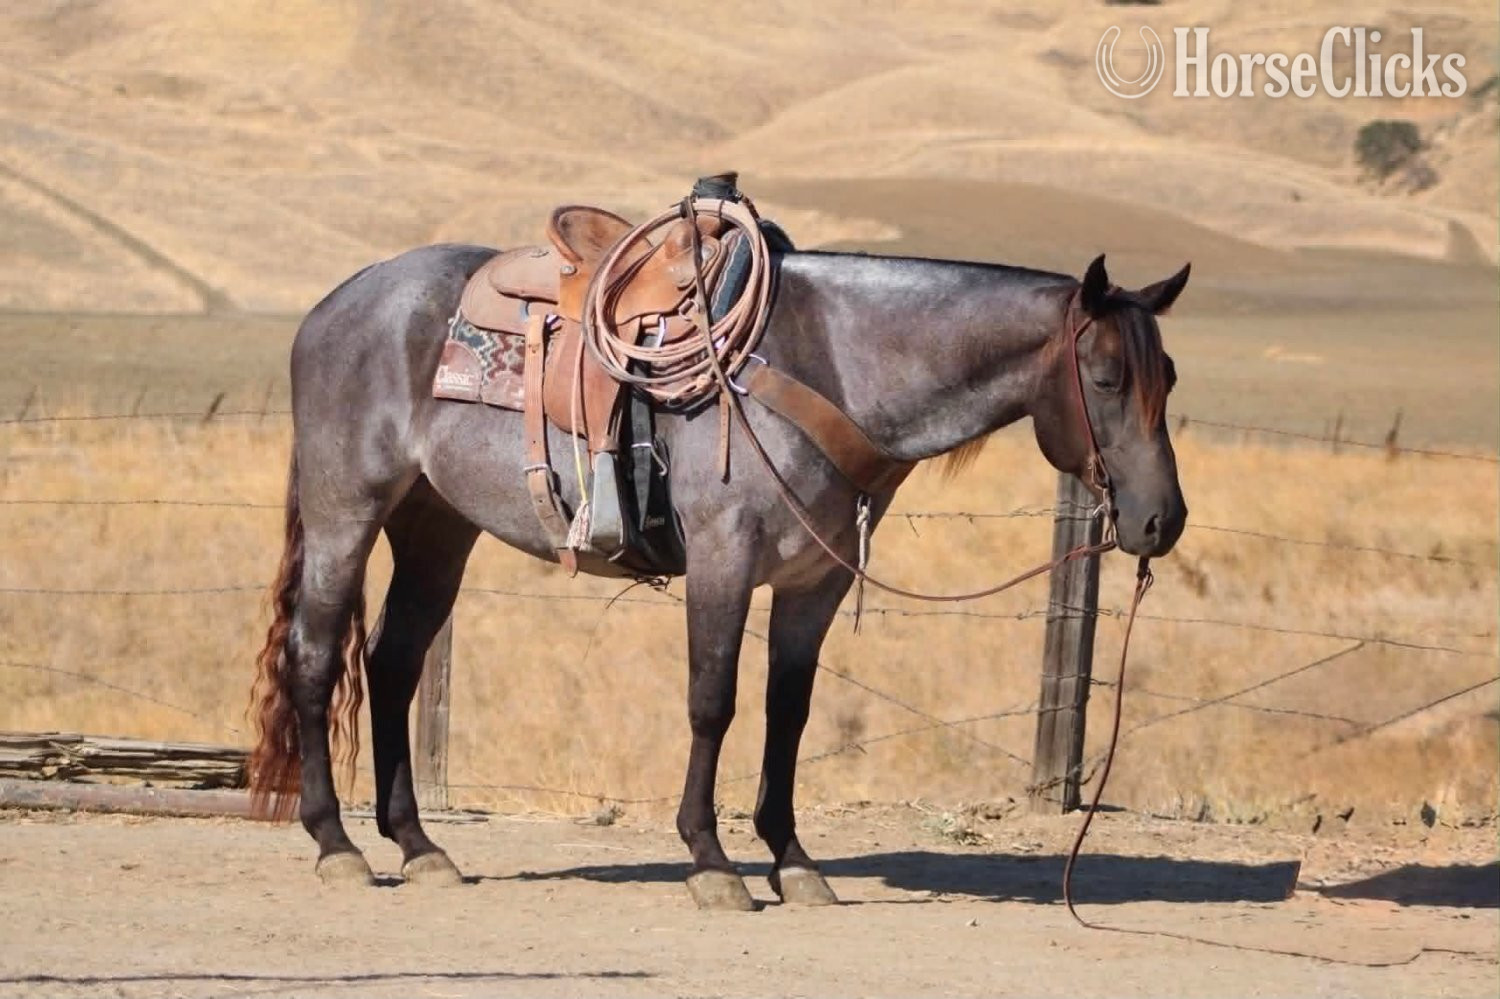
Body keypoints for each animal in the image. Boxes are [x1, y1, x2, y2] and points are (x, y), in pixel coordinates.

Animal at [247, 238, 1189, 910]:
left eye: (1169, 376)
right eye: (1106, 376)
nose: (1162, 520)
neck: (829, 363)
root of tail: (334, 304)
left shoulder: (814, 583)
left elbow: (787, 712)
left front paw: (792, 859)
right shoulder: (723, 561)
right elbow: (714, 702)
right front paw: (711, 860)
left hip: (436, 529)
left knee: (392, 665)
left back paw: (418, 845)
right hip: (345, 513)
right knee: (317, 657)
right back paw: (337, 844)